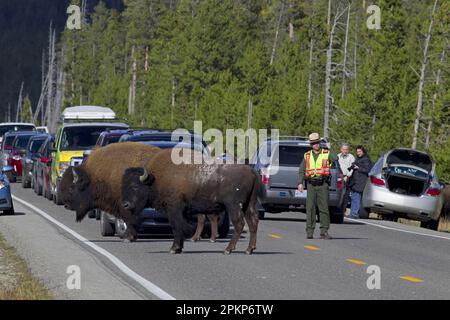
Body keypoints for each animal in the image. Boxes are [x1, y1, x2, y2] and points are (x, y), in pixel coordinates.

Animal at [120, 148, 260, 255]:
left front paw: (174, 249)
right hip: (249, 204)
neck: (155, 179)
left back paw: (228, 249)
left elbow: (176, 226)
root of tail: (251, 171)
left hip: (233, 205)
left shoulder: (173, 209)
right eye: (123, 185)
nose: (125, 205)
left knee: (239, 223)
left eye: (135, 186)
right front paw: (179, 247)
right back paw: (249, 249)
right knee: (253, 222)